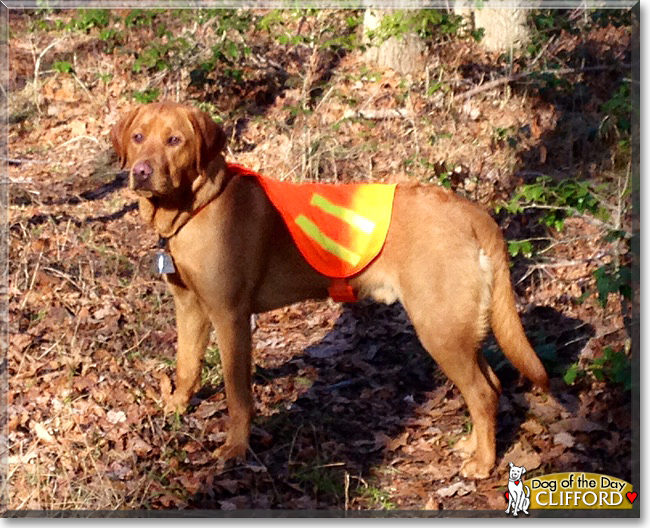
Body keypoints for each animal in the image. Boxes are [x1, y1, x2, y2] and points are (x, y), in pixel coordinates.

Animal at [110, 102, 548, 478]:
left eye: (175, 140)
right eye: (138, 137)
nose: (141, 172)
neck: (194, 207)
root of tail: (473, 212)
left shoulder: (230, 314)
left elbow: (237, 393)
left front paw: (236, 449)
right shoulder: (188, 306)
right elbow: (186, 366)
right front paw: (175, 408)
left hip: (439, 328)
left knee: (483, 393)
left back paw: (483, 463)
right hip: (458, 328)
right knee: (492, 384)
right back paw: (473, 446)